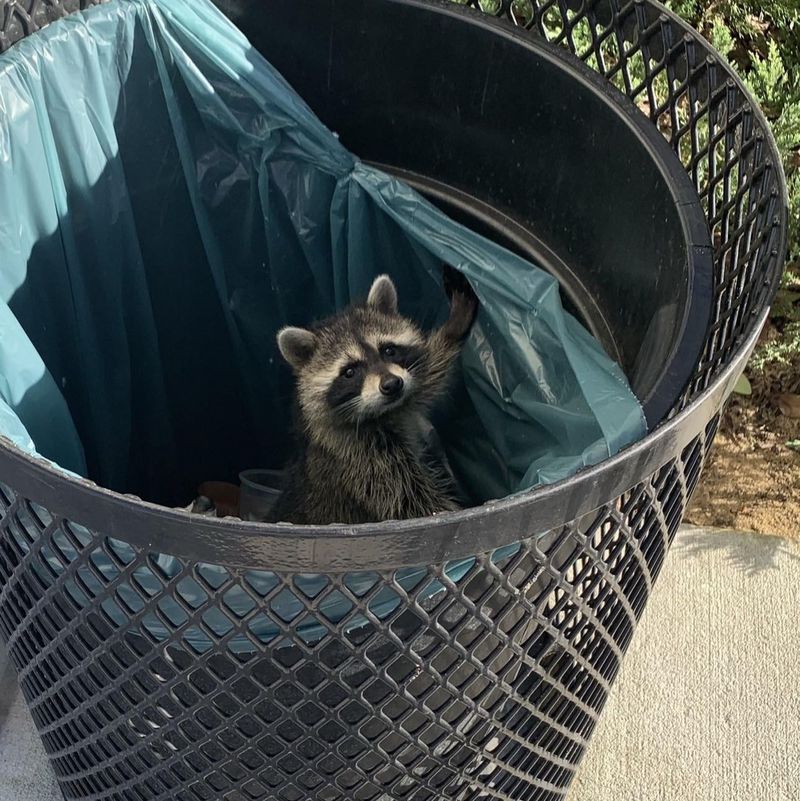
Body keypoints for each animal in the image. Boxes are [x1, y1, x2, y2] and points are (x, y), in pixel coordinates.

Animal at [269, 268, 478, 524]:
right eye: (349, 372)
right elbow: (413, 504)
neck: (384, 413)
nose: (392, 385)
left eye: (388, 350)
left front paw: (452, 329)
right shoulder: (360, 459)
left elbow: (428, 372)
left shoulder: (404, 395)